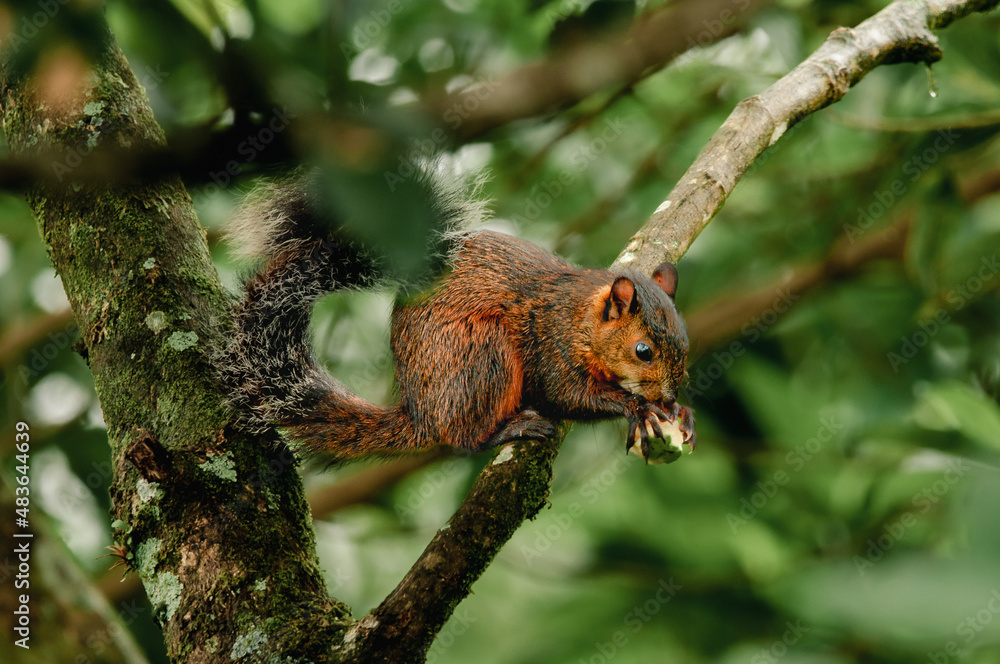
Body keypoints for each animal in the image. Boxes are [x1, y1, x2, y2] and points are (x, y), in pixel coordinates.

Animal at [221, 171, 696, 462]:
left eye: (686, 347)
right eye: (643, 351)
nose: (667, 397)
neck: (580, 318)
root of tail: (420, 414)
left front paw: (679, 413)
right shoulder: (551, 345)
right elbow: (567, 395)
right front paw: (638, 407)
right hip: (481, 357)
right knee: (462, 438)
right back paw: (508, 429)